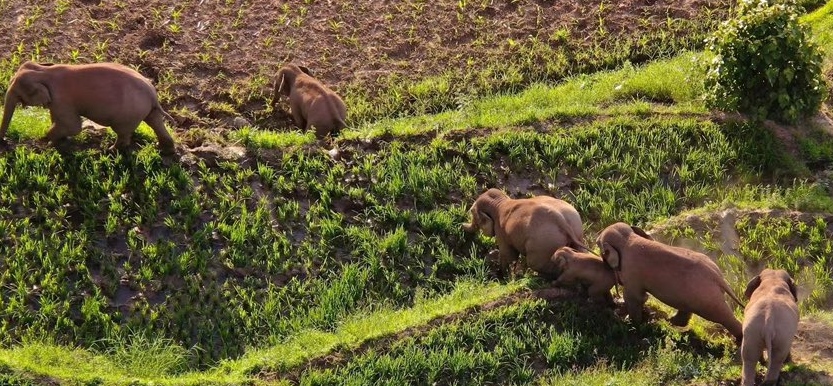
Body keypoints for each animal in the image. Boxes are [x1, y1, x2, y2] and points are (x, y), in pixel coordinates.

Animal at [0, 60, 176, 154]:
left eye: (18, 94)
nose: (5, 143)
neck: (44, 70)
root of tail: (153, 94)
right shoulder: (58, 103)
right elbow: (60, 121)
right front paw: (58, 142)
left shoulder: (62, 100)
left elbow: (73, 126)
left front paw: (47, 141)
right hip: (144, 109)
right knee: (155, 122)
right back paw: (163, 149)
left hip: (128, 114)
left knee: (123, 133)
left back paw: (110, 151)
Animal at [458, 188, 588, 278]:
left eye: (472, 212)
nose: (460, 224)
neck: (502, 201)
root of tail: (562, 221)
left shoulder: (501, 232)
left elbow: (508, 255)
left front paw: (503, 278)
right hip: (576, 230)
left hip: (543, 244)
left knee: (535, 263)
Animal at [596, 223, 744, 344]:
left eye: (599, 246)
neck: (628, 238)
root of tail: (718, 277)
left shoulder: (632, 274)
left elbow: (635, 297)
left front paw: (632, 323)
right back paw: (672, 321)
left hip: (707, 299)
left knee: (722, 316)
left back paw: (739, 340)